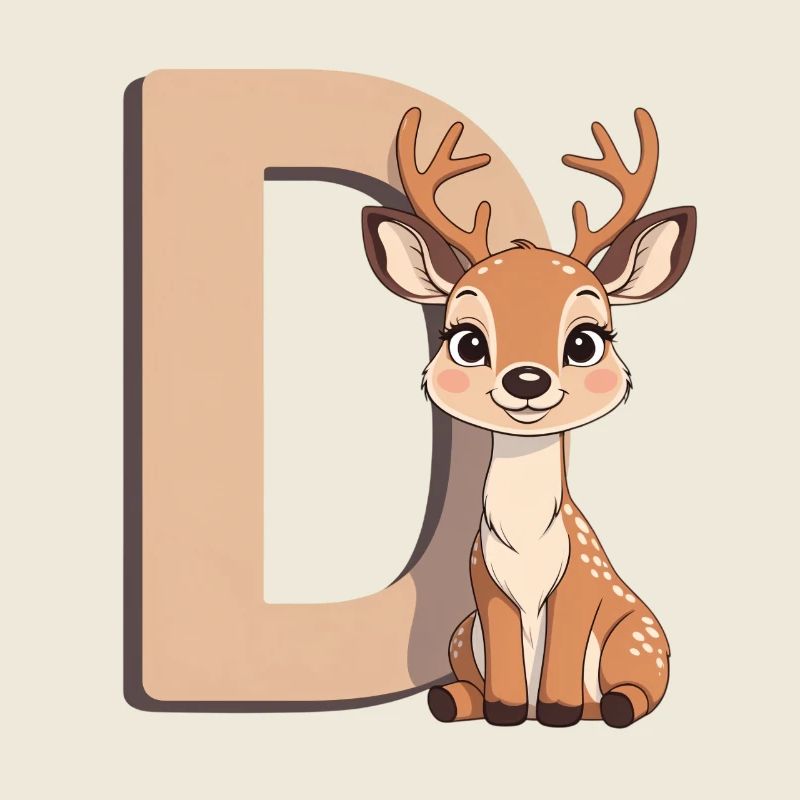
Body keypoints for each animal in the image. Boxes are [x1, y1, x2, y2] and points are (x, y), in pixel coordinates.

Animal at [361, 106, 696, 727]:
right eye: (466, 340)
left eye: (586, 341)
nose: (526, 380)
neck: (526, 546)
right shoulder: (484, 589)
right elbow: (505, 665)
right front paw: (508, 710)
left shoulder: (582, 585)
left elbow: (564, 651)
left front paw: (558, 710)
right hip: (459, 633)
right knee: (464, 676)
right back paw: (450, 698)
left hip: (638, 633)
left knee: (640, 689)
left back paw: (606, 706)